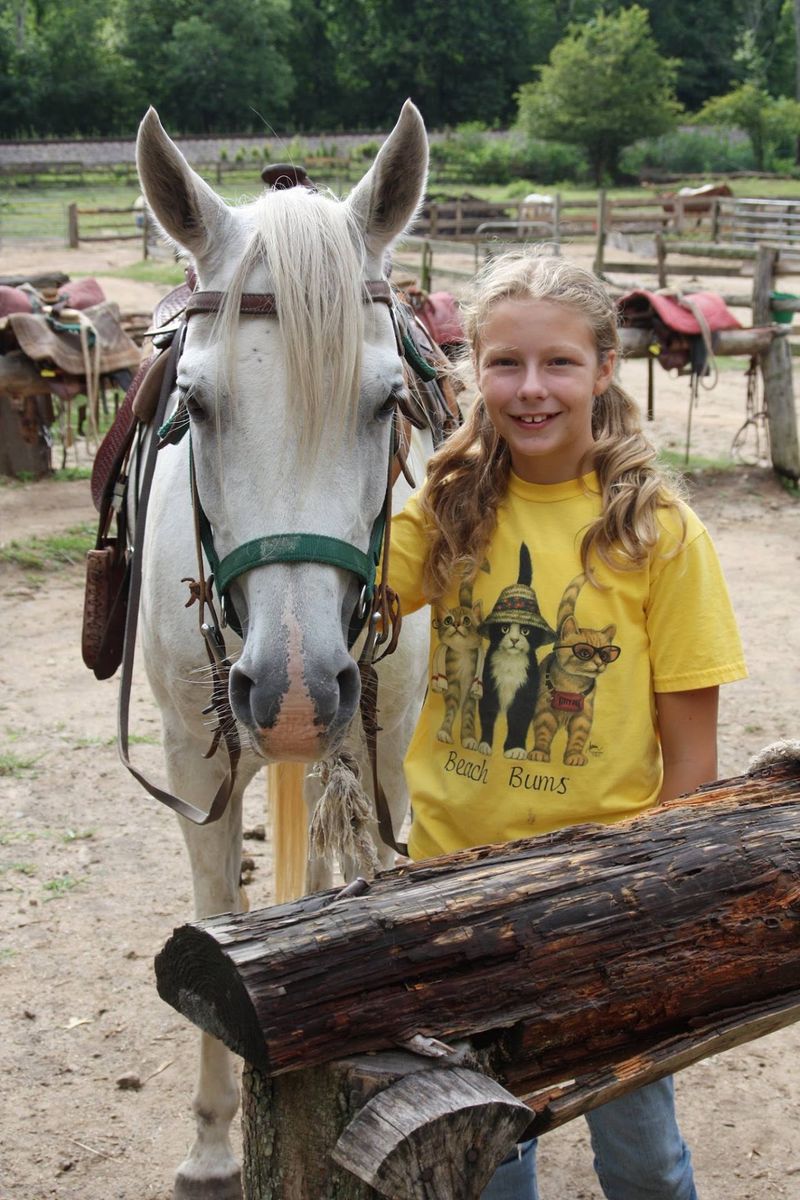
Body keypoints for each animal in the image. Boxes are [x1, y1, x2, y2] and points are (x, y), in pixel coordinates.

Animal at [133, 102, 432, 1199]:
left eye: (387, 401)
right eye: (194, 402)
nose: (296, 693)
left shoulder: (379, 746)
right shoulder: (193, 759)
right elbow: (217, 907)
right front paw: (214, 1141)